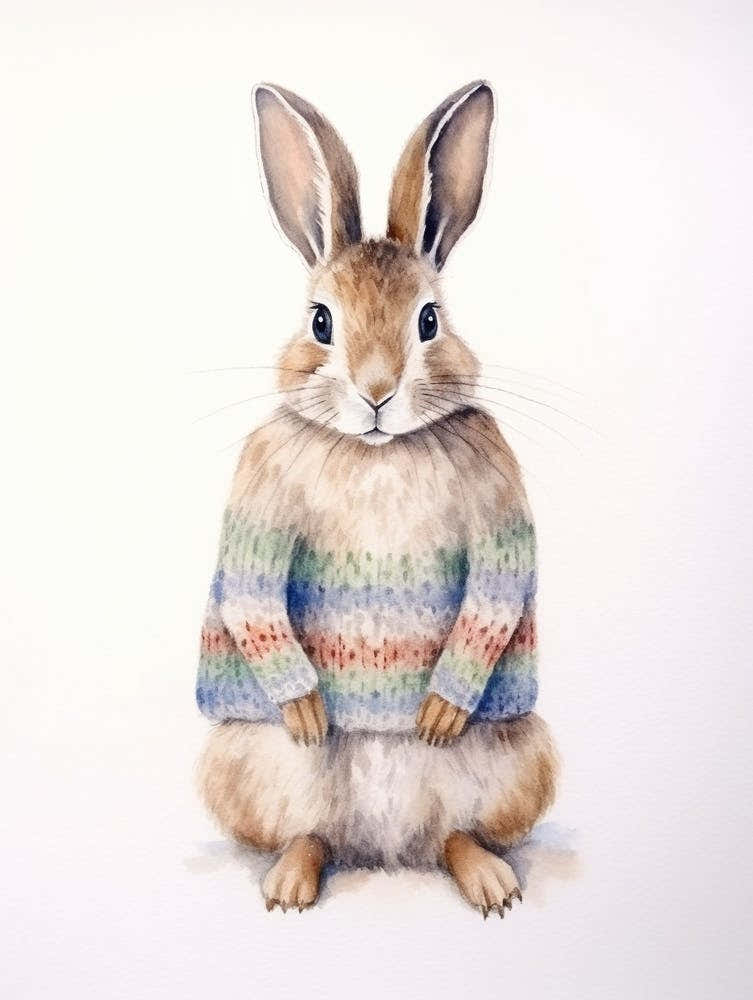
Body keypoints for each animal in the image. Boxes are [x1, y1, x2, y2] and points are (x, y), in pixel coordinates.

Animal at [196, 80, 557, 917]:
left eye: (428, 321)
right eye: (320, 322)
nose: (376, 392)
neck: (377, 450)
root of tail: (385, 845)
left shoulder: (499, 511)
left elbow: (495, 591)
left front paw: (438, 710)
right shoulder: (257, 509)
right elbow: (251, 593)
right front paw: (306, 707)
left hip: (523, 759)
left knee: (456, 833)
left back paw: (489, 883)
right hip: (239, 764)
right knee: (310, 831)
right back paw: (291, 883)